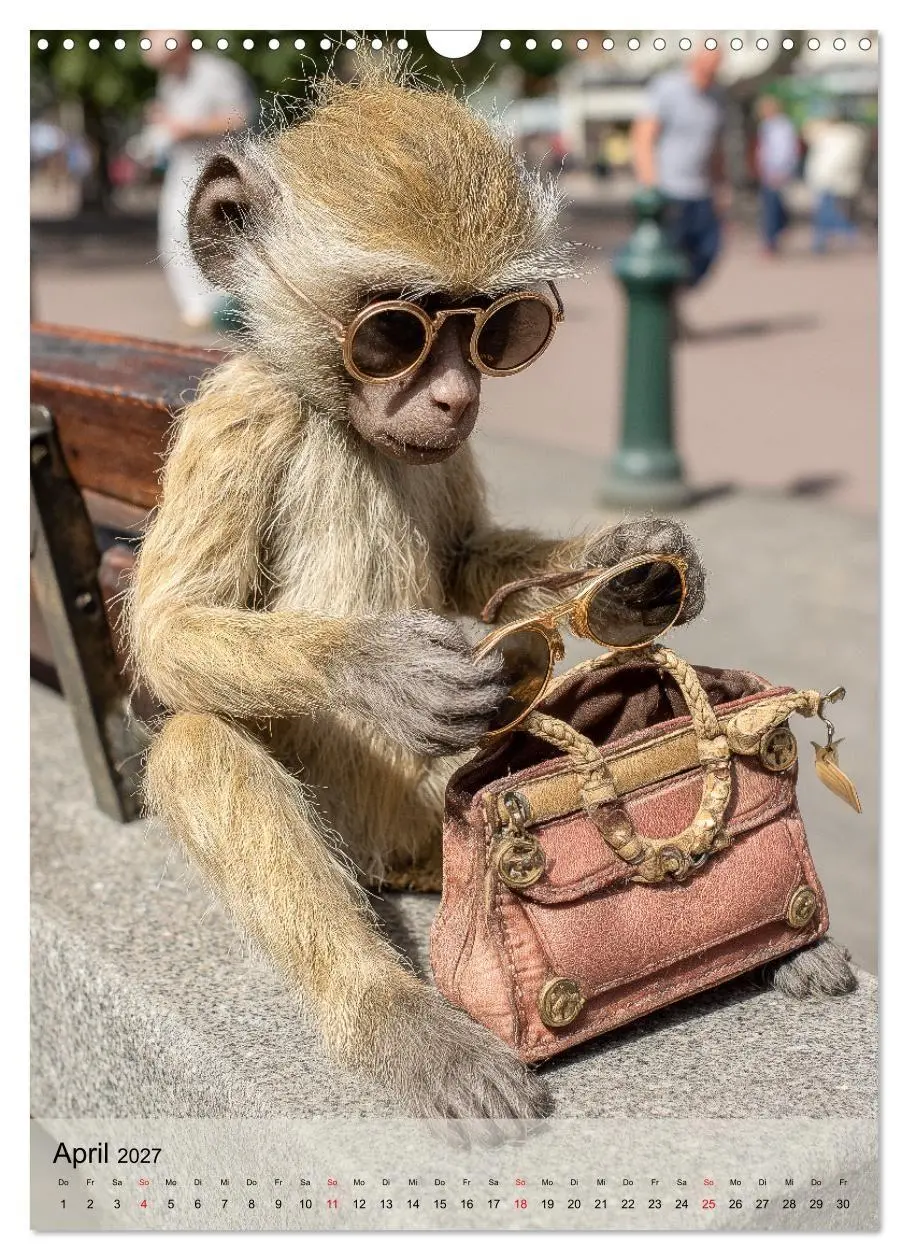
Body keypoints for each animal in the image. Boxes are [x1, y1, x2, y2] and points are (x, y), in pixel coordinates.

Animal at [127, 61, 855, 1121]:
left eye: (496, 331)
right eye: (392, 333)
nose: (454, 395)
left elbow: (471, 558)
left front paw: (630, 570)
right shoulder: (245, 414)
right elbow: (167, 630)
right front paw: (383, 667)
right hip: (388, 826)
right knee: (196, 738)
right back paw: (395, 1014)